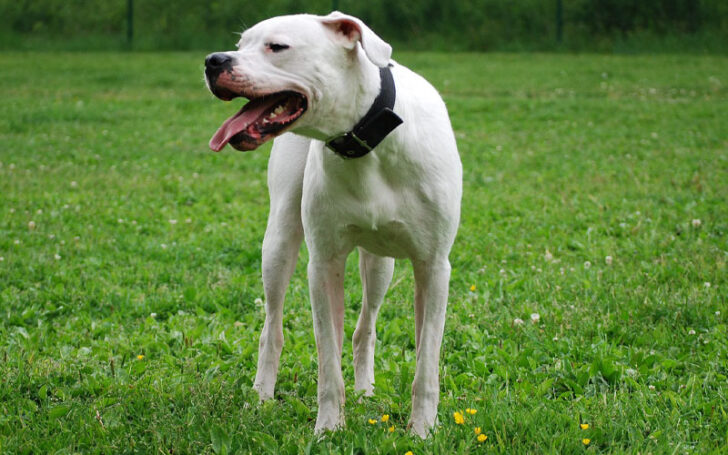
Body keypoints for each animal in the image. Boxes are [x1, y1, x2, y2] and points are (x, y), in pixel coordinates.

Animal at [203, 11, 460, 438]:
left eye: (277, 46)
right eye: (240, 45)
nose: (213, 60)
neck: (367, 142)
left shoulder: (434, 267)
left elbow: (427, 362)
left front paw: (423, 430)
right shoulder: (322, 265)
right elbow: (327, 360)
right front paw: (328, 428)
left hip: (381, 265)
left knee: (364, 328)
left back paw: (365, 392)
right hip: (279, 243)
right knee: (272, 328)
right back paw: (261, 395)